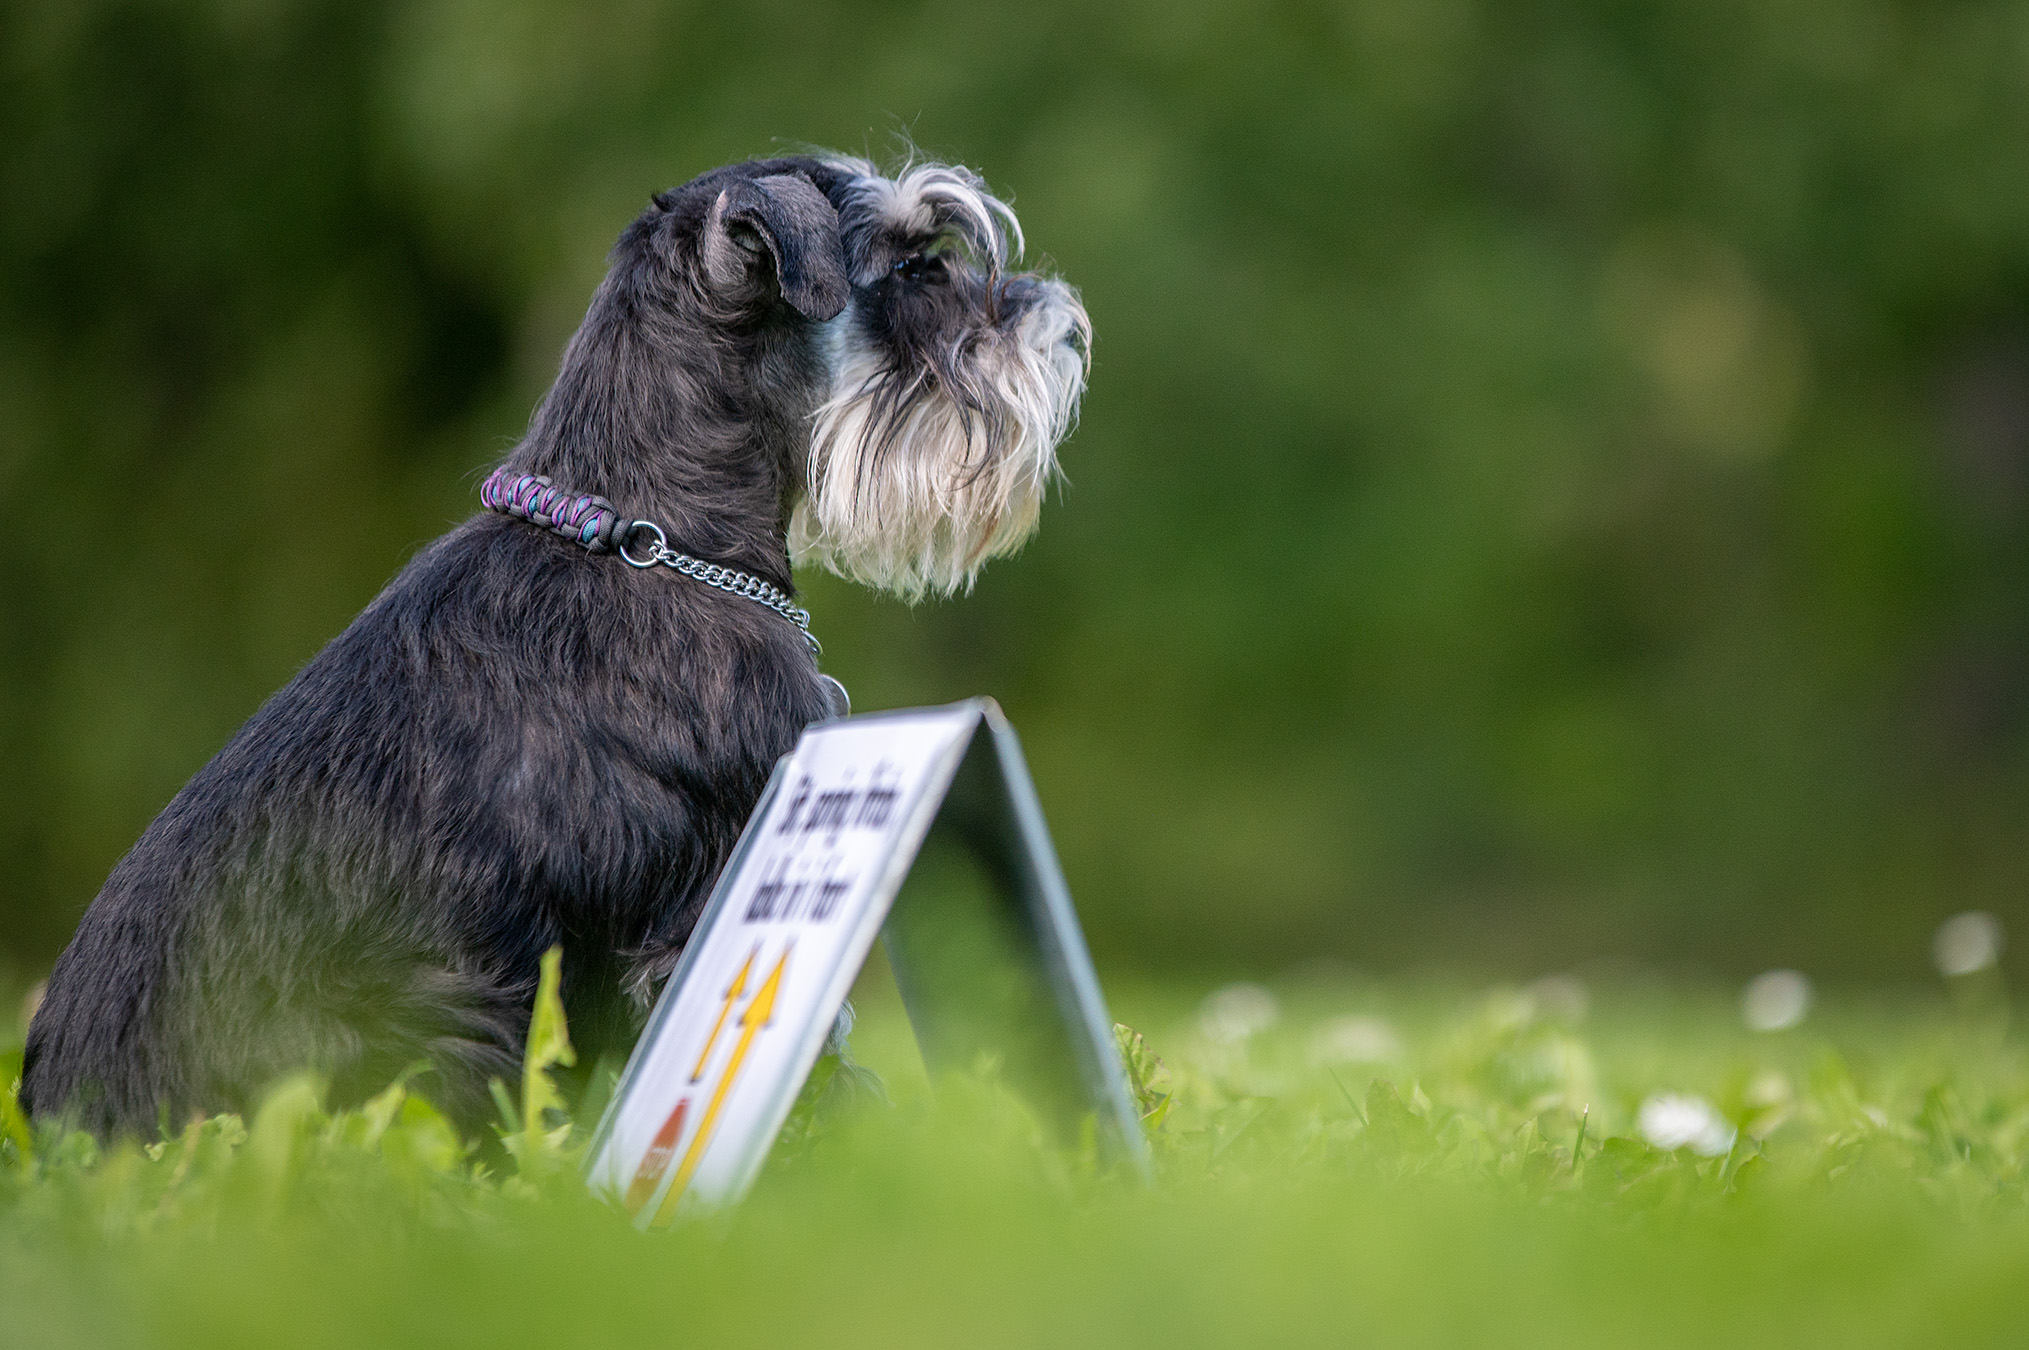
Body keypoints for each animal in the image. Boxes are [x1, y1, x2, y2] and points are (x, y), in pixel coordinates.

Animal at [19, 150, 1095, 1136]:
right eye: (912, 266)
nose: (1063, 322)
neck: (653, 536)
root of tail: (65, 1121)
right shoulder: (716, 891)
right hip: (435, 1023)